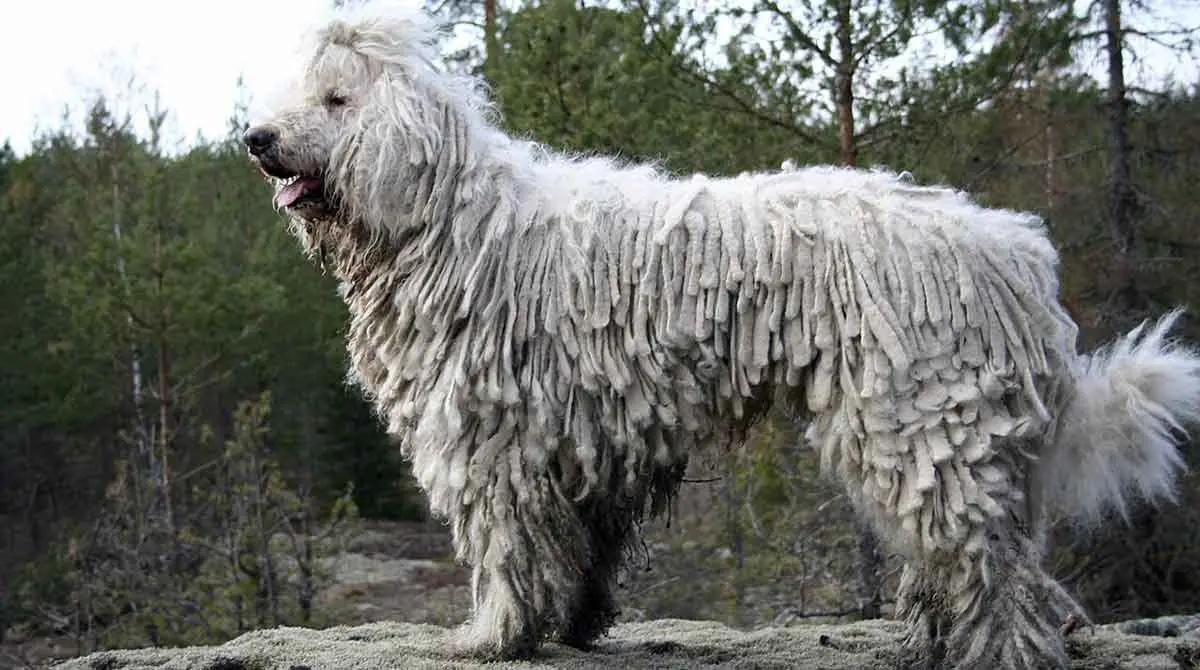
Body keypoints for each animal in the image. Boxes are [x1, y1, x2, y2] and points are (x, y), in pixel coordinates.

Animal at [241, 2, 1200, 667]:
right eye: (296, 98)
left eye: (334, 99)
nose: (256, 137)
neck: (448, 222)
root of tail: (1019, 258)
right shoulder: (586, 440)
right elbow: (581, 547)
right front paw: (573, 624)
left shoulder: (492, 437)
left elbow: (508, 545)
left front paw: (492, 635)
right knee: (980, 558)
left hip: (926, 414)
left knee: (996, 572)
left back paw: (992, 646)